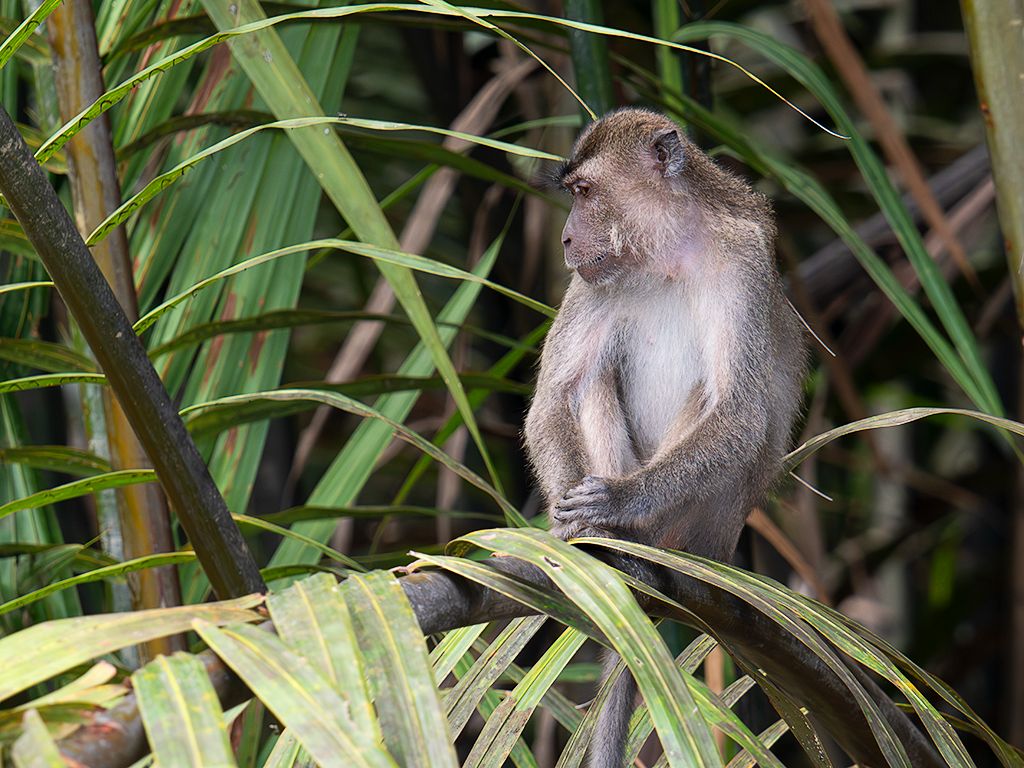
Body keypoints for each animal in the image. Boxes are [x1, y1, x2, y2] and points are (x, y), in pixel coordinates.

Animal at [523, 108, 806, 767]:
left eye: (584, 192)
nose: (566, 239)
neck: (666, 254)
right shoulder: (591, 280)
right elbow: (554, 400)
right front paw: (570, 521)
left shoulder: (743, 266)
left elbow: (739, 411)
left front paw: (619, 501)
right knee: (592, 380)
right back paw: (617, 546)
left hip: (705, 524)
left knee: (714, 396)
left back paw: (642, 536)